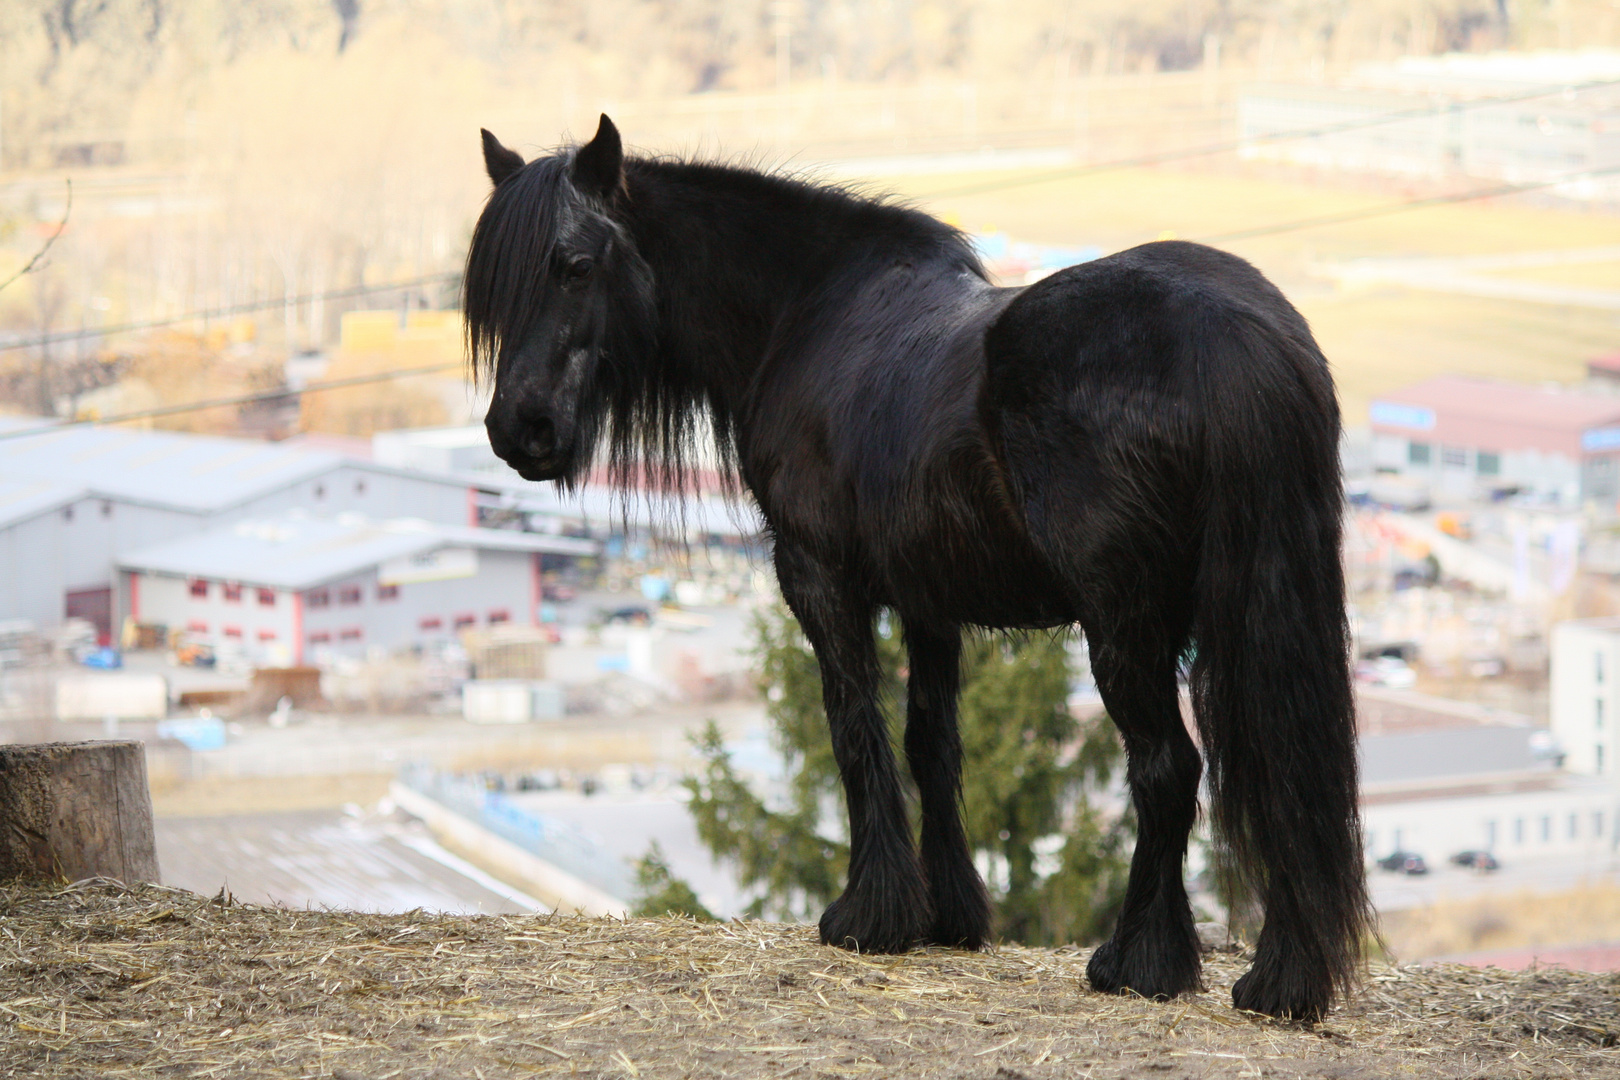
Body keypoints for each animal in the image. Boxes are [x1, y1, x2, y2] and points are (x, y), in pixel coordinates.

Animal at [466, 118, 1367, 1023]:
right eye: (494, 290)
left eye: (576, 264)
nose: (519, 429)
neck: (808, 314)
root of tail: (1235, 337)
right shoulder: (930, 600)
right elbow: (931, 739)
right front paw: (950, 915)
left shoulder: (817, 577)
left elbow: (853, 725)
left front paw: (871, 916)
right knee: (1281, 772)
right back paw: (1279, 979)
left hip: (1126, 624)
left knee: (1167, 770)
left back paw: (1139, 963)